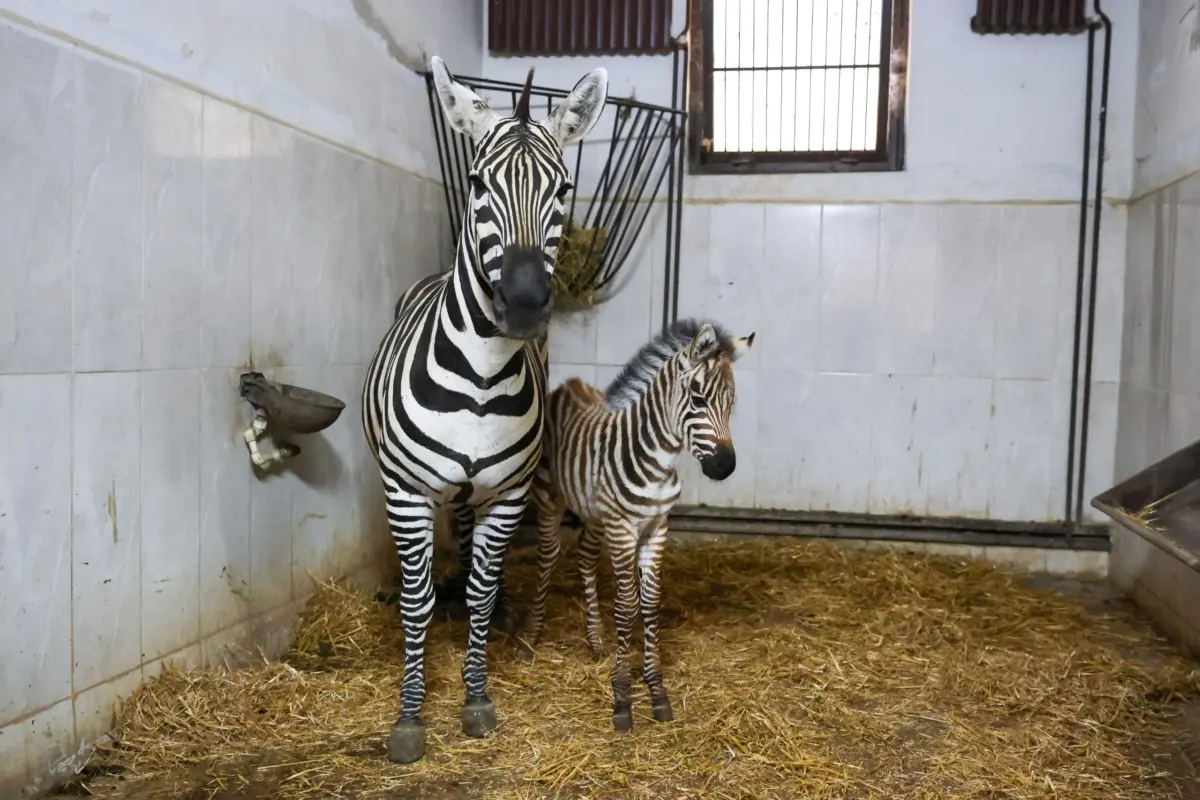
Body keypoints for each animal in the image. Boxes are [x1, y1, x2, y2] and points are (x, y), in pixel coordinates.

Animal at [361, 55, 608, 764]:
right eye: (476, 183)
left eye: (563, 188)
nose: (523, 302)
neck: (479, 379)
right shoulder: (407, 492)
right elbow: (415, 601)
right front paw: (410, 715)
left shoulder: (506, 494)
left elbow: (480, 586)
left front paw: (475, 696)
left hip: (479, 494)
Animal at [520, 318, 755, 731]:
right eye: (698, 400)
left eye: (731, 405)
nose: (724, 467)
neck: (656, 462)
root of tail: (570, 384)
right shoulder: (623, 529)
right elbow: (627, 605)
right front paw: (622, 693)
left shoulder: (656, 527)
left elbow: (649, 601)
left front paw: (655, 688)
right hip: (550, 498)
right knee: (548, 557)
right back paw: (533, 634)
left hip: (595, 514)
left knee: (584, 558)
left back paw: (595, 639)